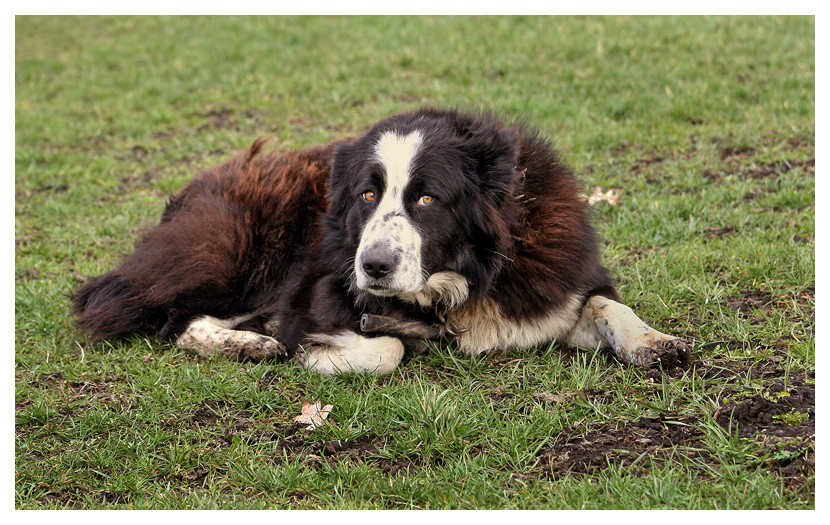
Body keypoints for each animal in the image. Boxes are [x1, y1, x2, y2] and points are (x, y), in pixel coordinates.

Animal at [75, 108, 692, 374]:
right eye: (368, 195)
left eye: (428, 199)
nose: (371, 266)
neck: (466, 276)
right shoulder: (317, 294)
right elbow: (385, 348)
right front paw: (318, 351)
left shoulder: (553, 293)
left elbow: (606, 303)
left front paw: (653, 341)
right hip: (229, 255)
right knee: (175, 318)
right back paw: (245, 343)